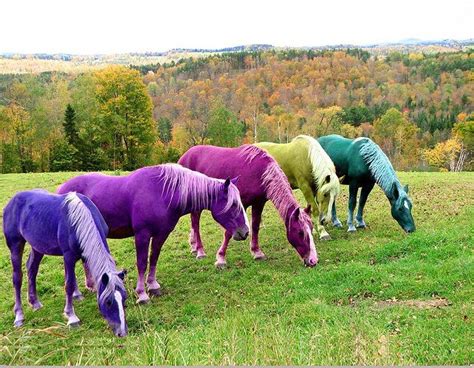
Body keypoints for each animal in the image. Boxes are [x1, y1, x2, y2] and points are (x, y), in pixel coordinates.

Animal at [2, 190, 128, 336]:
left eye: (124, 298)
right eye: (108, 302)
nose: (122, 332)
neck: (80, 219)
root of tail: (11, 202)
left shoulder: (83, 253)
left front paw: (77, 296)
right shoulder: (68, 256)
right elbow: (69, 284)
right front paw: (71, 317)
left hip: (38, 247)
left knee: (32, 269)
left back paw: (35, 303)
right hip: (15, 245)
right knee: (17, 278)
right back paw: (19, 316)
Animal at [57, 165, 250, 304]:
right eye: (233, 204)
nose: (245, 232)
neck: (163, 193)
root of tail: (62, 189)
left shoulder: (161, 234)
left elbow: (154, 258)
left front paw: (153, 286)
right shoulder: (142, 235)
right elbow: (142, 263)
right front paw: (142, 294)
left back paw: (92, 286)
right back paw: (76, 293)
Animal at [178, 144, 318, 268]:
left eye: (311, 229)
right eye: (300, 232)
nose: (313, 260)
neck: (258, 172)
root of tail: (184, 156)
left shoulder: (258, 203)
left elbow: (255, 226)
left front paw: (257, 252)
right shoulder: (239, 206)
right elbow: (228, 232)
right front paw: (221, 258)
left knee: (193, 222)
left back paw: (194, 247)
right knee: (195, 222)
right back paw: (200, 251)